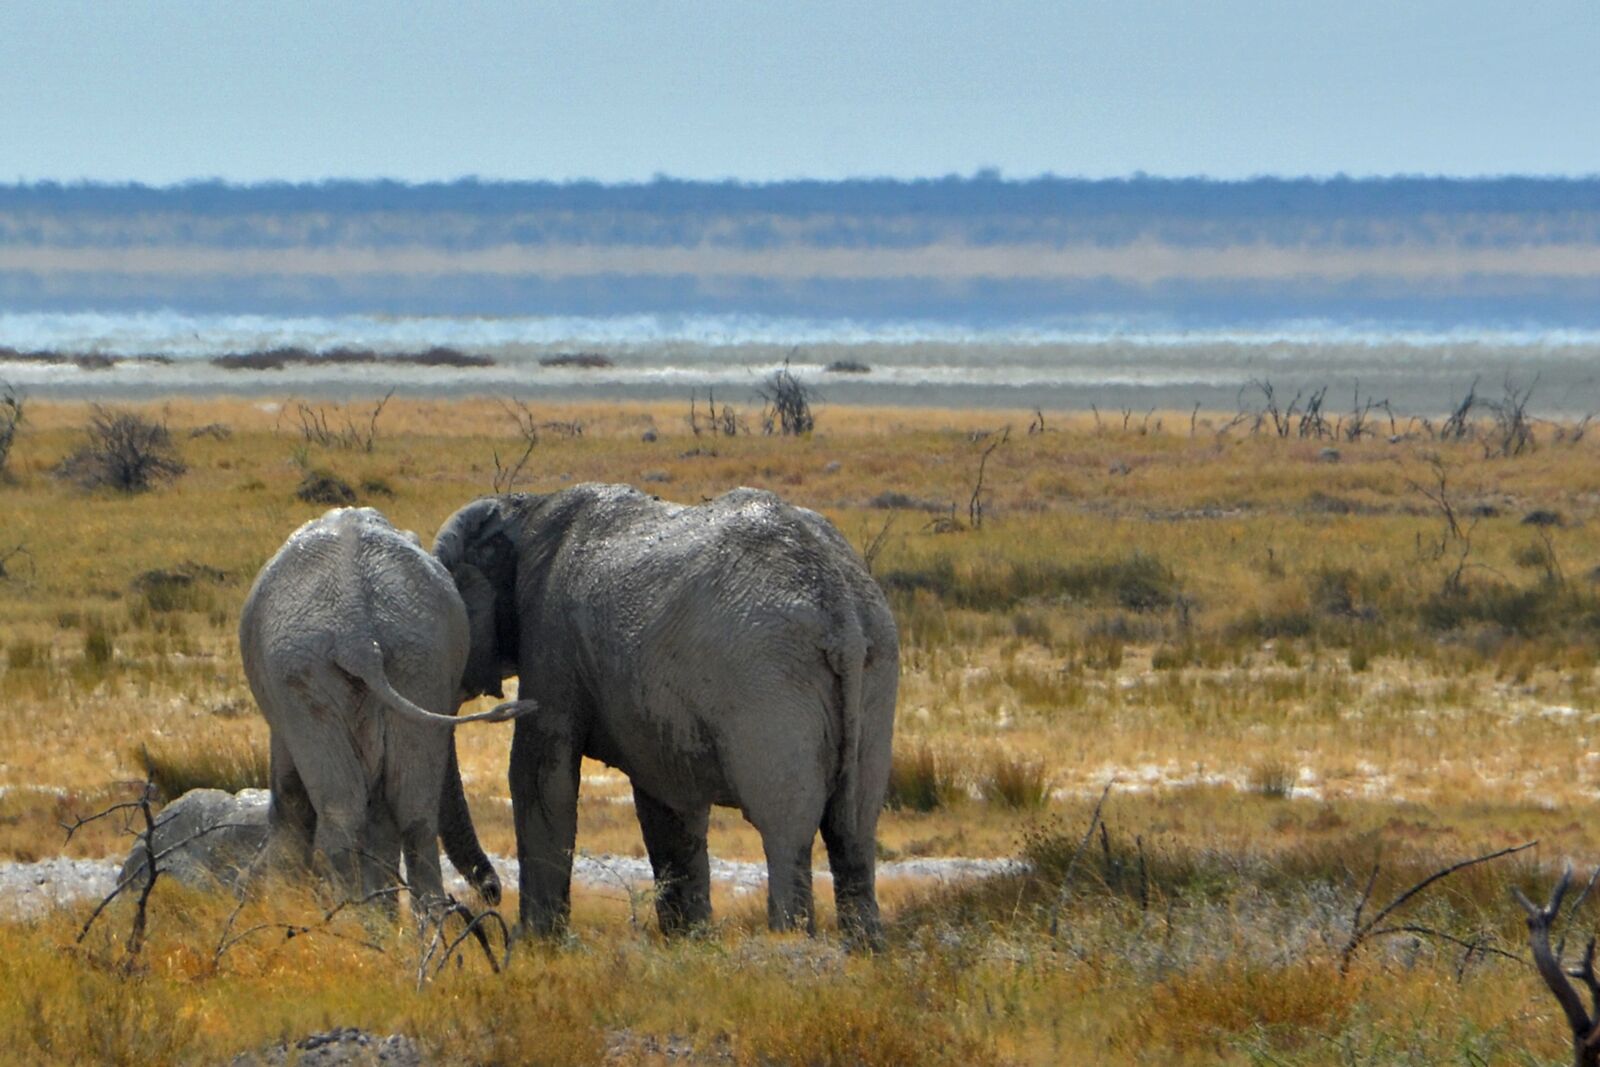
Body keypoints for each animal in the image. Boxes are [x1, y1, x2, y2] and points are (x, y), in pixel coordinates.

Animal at [239, 506, 527, 908]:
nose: (492, 893)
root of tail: (359, 633)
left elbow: (291, 793)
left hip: (302, 671)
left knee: (342, 813)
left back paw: (354, 918)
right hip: (419, 660)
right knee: (414, 813)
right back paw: (411, 922)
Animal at [433, 484, 899, 945]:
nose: (490, 894)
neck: (523, 506)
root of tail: (840, 610)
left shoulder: (551, 636)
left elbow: (538, 775)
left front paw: (534, 941)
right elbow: (666, 800)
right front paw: (687, 939)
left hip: (770, 679)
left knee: (786, 830)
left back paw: (788, 942)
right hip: (875, 670)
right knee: (853, 831)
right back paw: (864, 948)